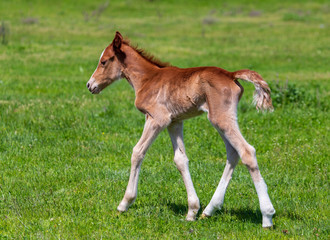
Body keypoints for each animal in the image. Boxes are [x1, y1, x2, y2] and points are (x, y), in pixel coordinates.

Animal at [86, 31, 274, 227]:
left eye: (104, 61)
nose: (90, 85)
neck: (148, 79)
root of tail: (230, 74)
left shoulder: (157, 119)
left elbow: (137, 152)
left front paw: (124, 203)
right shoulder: (174, 122)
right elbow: (180, 160)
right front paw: (192, 210)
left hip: (221, 118)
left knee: (247, 151)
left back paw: (267, 216)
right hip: (219, 119)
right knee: (233, 152)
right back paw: (209, 210)